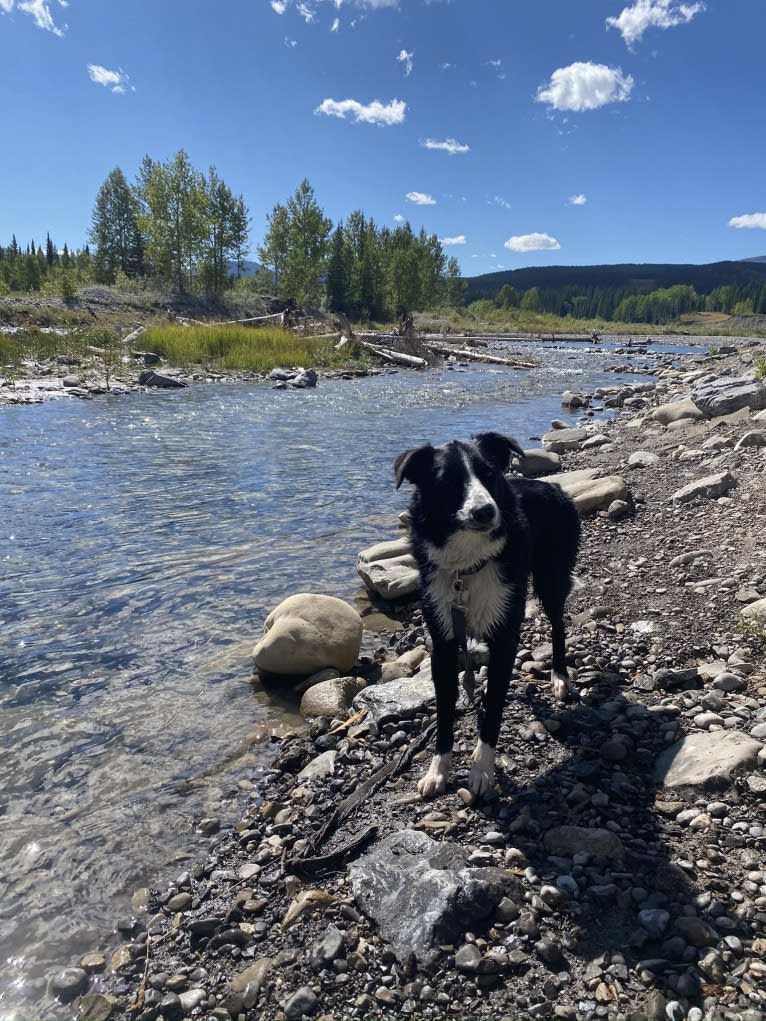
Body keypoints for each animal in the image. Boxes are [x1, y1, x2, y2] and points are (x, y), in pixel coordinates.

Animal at [396, 430, 580, 796]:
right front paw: (438, 770)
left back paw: (559, 676)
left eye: (489, 473)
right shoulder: (442, 642)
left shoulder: (504, 640)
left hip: (551, 576)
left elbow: (494, 708)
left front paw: (482, 770)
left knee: (557, 625)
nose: (483, 511)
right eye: (447, 480)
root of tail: (554, 486)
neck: (467, 565)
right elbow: (444, 712)